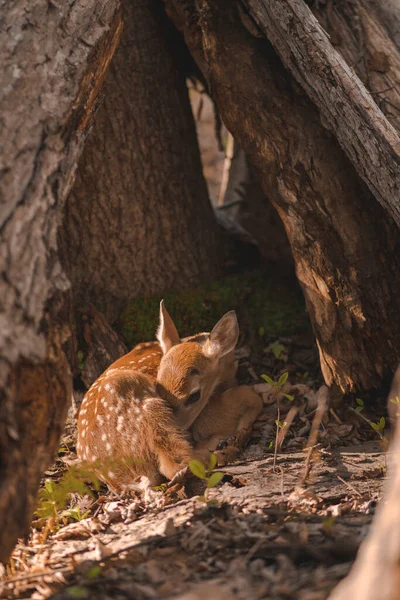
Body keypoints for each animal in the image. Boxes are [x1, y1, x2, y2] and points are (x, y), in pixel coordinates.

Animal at [76, 300, 262, 492]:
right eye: (158, 385)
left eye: (194, 396)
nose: (183, 430)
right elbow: (252, 397)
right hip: (148, 409)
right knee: (175, 465)